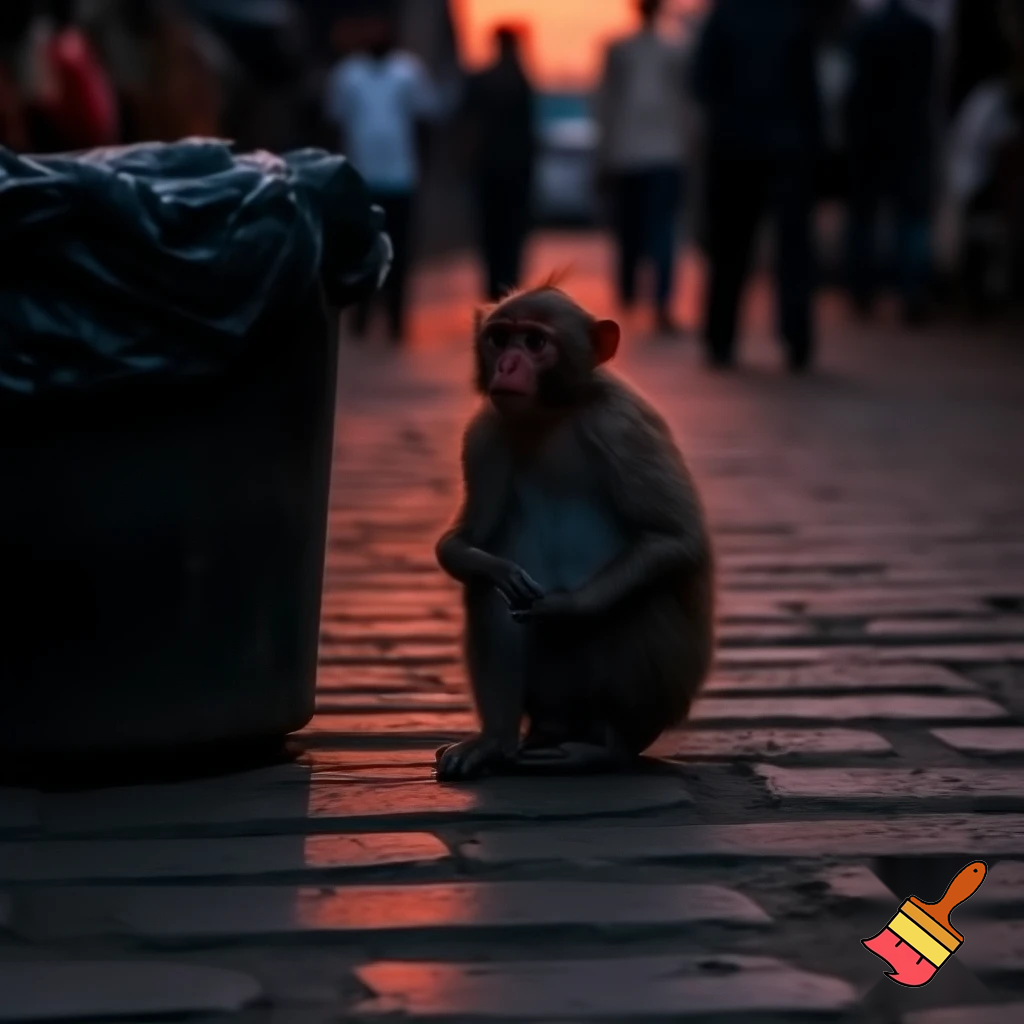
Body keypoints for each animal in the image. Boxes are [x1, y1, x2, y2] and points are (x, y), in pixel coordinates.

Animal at [434, 283, 714, 781]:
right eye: (500, 339)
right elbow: (465, 545)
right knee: (485, 592)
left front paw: (565, 607)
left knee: (642, 597)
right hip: (549, 700)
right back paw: (496, 742)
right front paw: (493, 567)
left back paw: (609, 747)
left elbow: (679, 539)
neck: (553, 413)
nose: (507, 366)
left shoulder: (622, 426)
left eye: (534, 342)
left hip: (655, 700)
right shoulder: (483, 434)